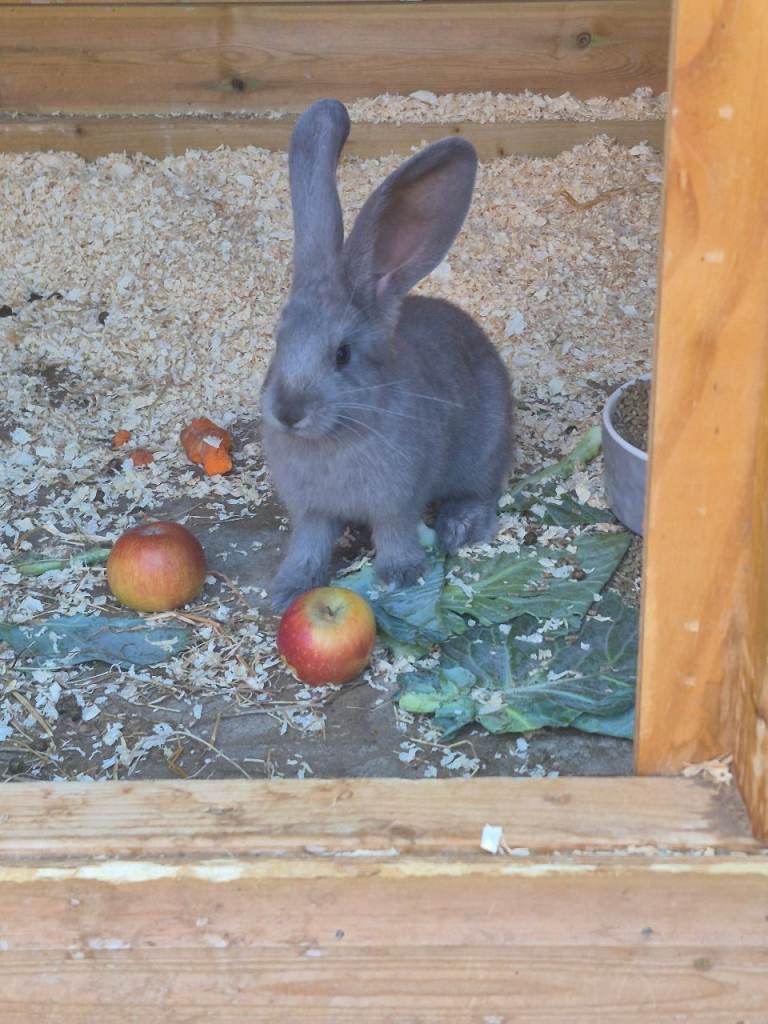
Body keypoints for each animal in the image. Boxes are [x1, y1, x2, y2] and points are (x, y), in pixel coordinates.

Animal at [261, 99, 513, 612]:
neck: (333, 438)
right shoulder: (312, 512)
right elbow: (309, 543)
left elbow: (395, 532)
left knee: (482, 491)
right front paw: (288, 589)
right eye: (279, 340)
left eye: (342, 355)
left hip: (485, 449)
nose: (288, 412)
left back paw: (460, 526)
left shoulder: (397, 500)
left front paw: (400, 576)